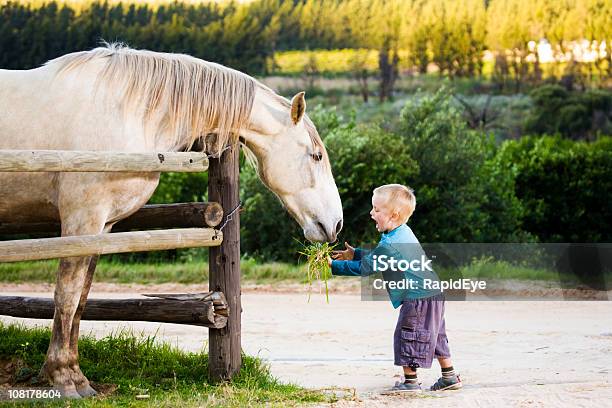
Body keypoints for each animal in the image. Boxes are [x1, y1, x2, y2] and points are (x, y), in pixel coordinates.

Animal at [0, 43, 344, 396]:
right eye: (316, 156)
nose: (335, 224)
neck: (125, 110)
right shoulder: (80, 221)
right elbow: (66, 297)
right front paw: (64, 379)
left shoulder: (101, 226)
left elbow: (81, 300)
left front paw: (75, 375)